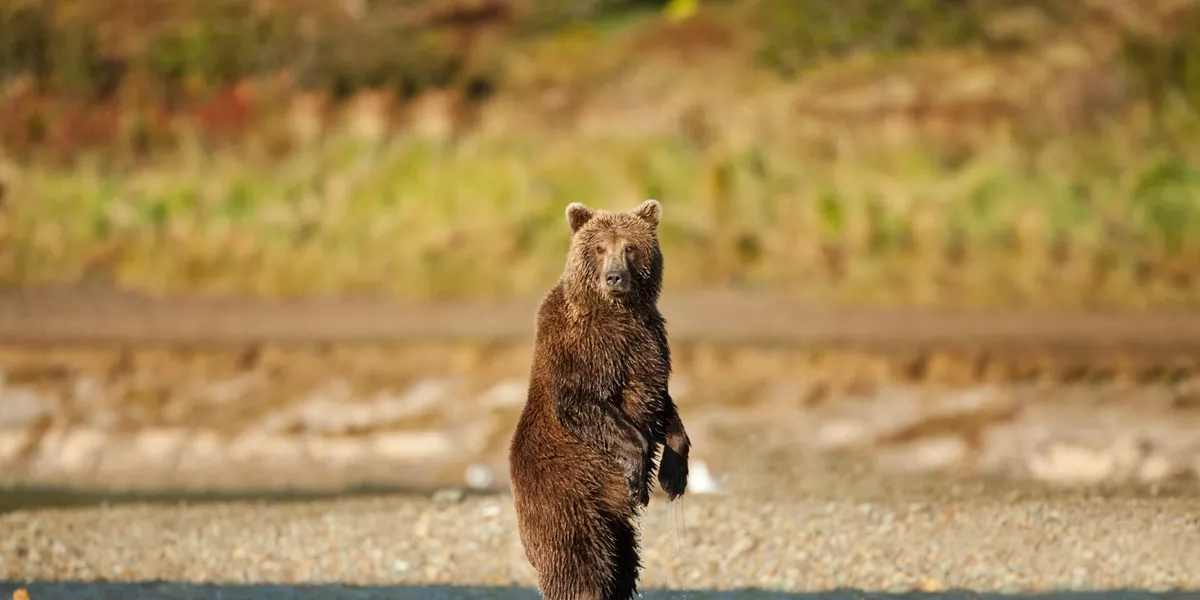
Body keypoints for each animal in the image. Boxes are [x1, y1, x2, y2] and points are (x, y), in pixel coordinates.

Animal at [508, 198, 692, 600]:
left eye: (630, 247)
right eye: (599, 248)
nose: (615, 277)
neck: (618, 311)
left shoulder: (650, 341)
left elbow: (664, 405)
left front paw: (673, 475)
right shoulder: (584, 346)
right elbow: (583, 403)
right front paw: (639, 478)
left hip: (616, 525)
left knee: (622, 564)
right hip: (568, 497)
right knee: (581, 563)